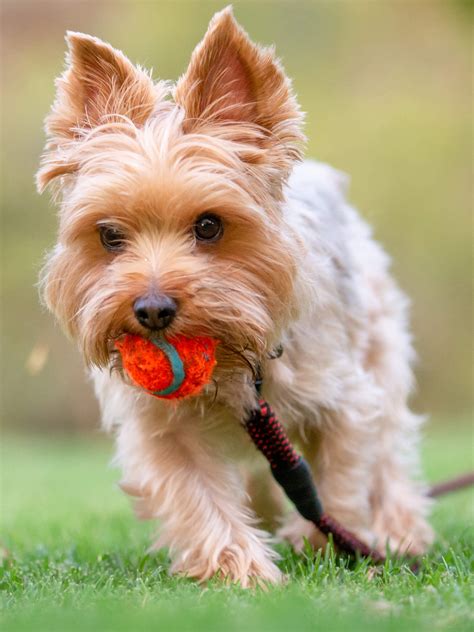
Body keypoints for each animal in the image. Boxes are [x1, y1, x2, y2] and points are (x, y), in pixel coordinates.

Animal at [37, 6, 434, 588]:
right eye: (110, 235)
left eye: (209, 226)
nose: (151, 309)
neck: (231, 363)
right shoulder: (162, 427)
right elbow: (196, 493)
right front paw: (239, 569)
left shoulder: (343, 396)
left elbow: (342, 474)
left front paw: (325, 538)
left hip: (379, 345)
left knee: (389, 451)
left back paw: (399, 532)